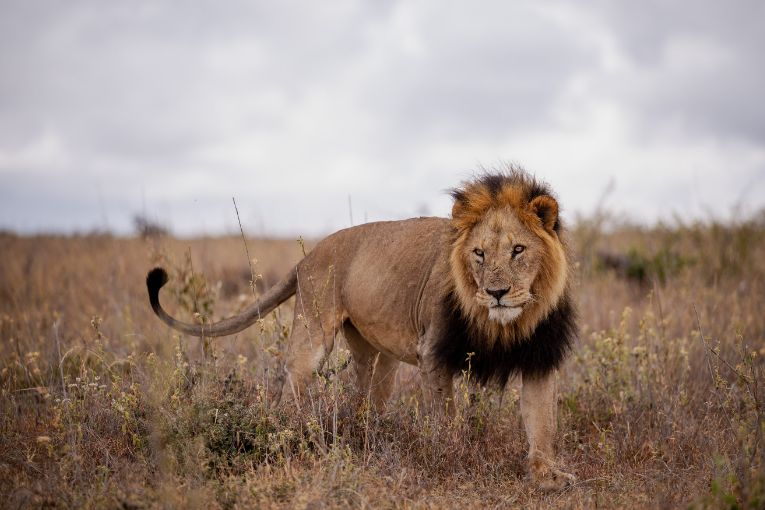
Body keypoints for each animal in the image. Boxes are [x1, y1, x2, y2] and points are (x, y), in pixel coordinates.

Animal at [146, 168, 576, 490]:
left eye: (518, 250)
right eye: (479, 254)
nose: (496, 293)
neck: (506, 324)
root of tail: (308, 256)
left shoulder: (540, 358)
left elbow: (543, 423)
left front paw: (547, 476)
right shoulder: (434, 353)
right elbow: (445, 420)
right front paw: (449, 461)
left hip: (376, 356)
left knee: (365, 403)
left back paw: (371, 439)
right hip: (313, 334)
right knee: (292, 388)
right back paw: (290, 438)